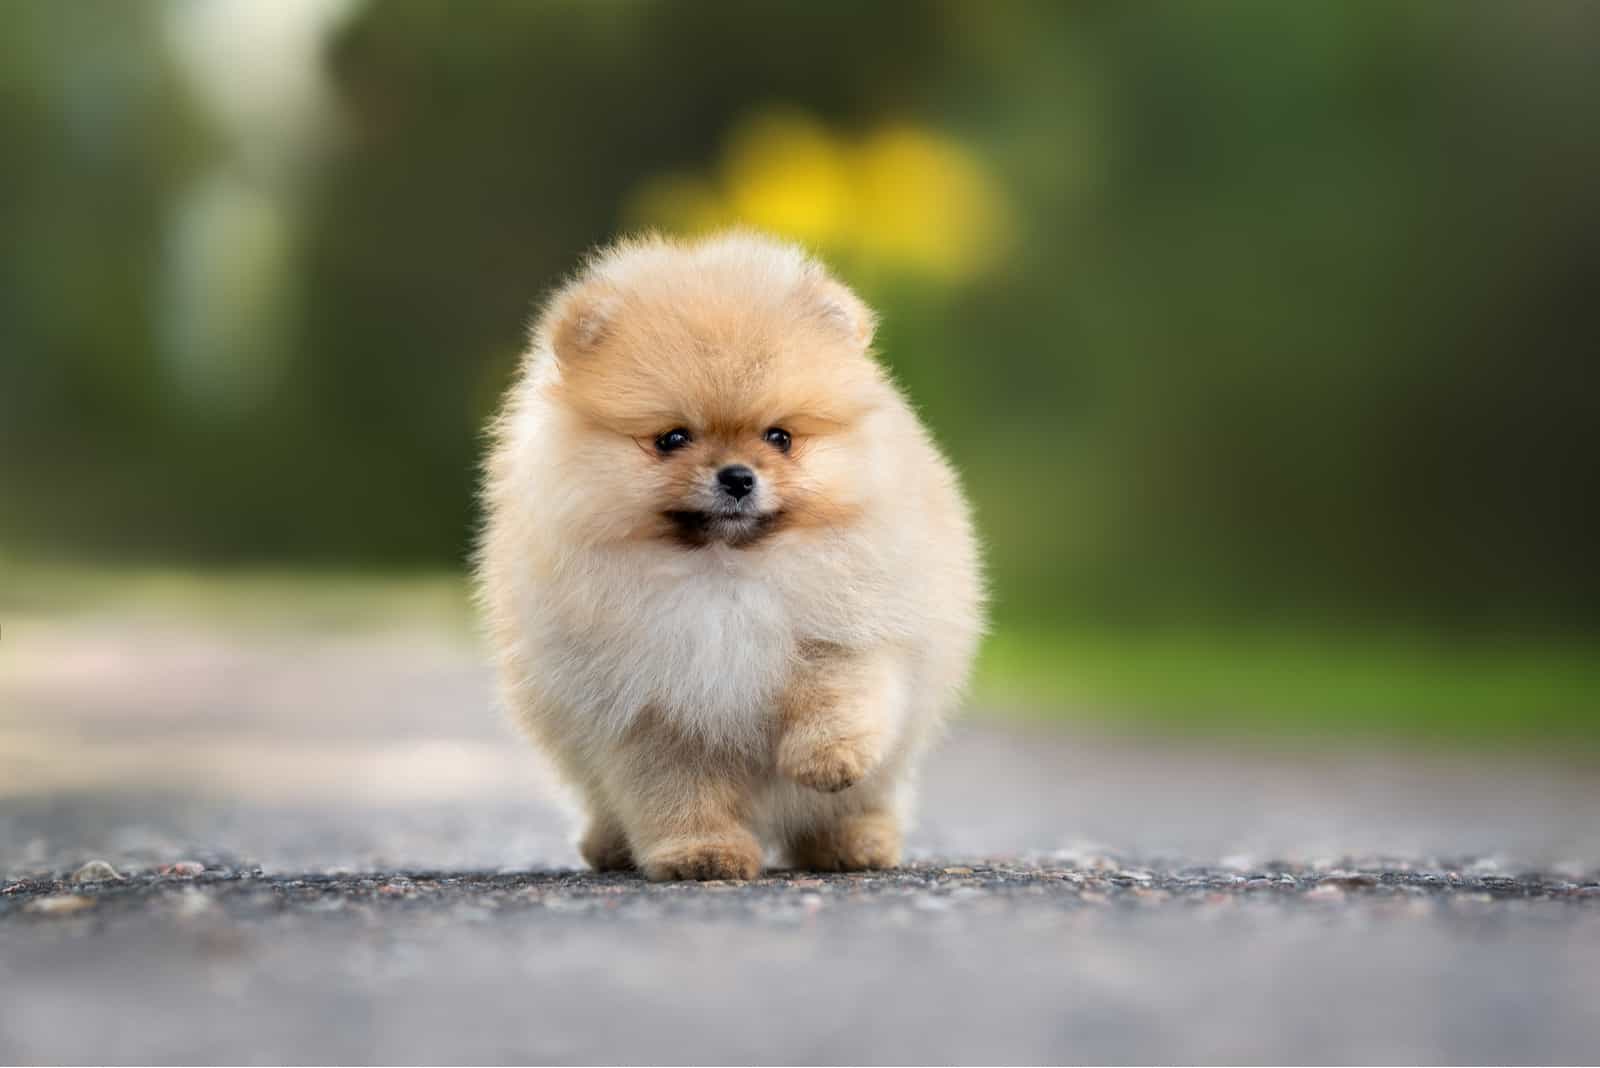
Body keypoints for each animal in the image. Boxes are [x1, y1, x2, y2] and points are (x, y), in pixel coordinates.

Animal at [467, 230, 979, 882]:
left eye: (779, 437)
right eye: (672, 438)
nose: (737, 477)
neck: (725, 570)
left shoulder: (857, 625)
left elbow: (841, 690)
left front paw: (827, 759)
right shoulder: (651, 706)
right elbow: (679, 790)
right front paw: (702, 854)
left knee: (867, 796)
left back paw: (856, 841)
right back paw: (609, 845)